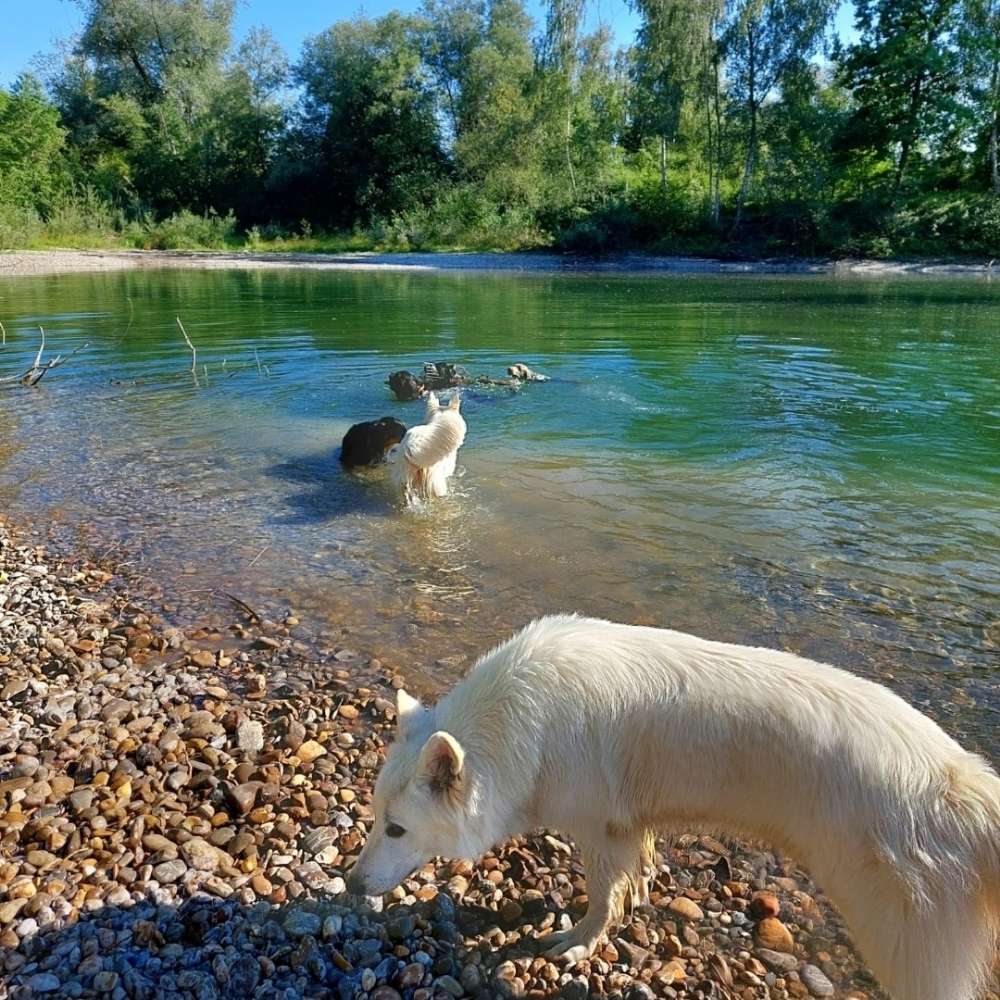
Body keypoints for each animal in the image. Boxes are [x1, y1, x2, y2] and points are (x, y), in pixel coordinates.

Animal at [346, 612, 1000, 1000]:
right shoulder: (629, 826)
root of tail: (965, 787)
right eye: (375, 819)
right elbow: (632, 877)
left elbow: (601, 896)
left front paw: (579, 942)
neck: (516, 727)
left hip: (906, 950)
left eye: (397, 830)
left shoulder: (601, 829)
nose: (350, 887)